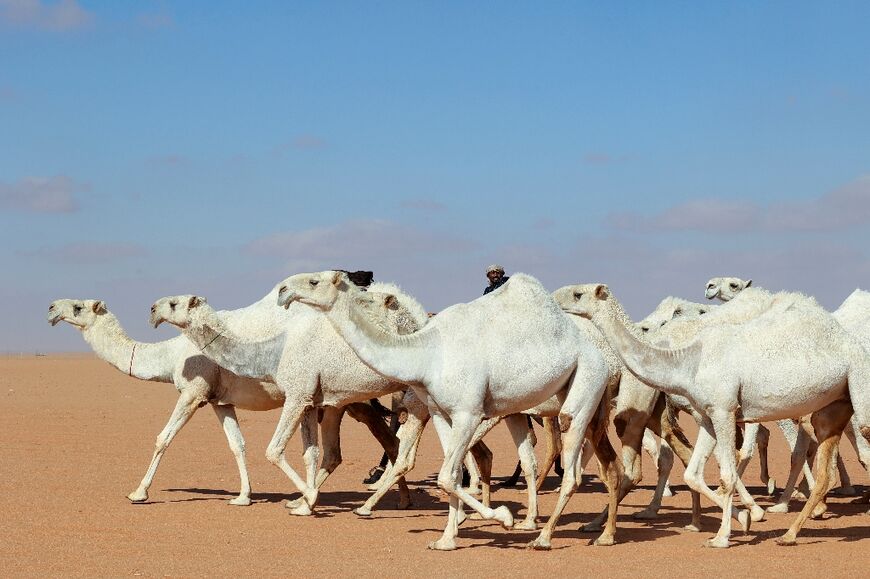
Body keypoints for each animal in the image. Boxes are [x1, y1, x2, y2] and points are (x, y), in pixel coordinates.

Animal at [45, 300, 402, 508]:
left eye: (77, 308)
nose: (50, 308)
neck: (170, 355)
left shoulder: (193, 391)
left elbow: (163, 438)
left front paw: (138, 492)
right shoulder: (219, 401)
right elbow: (237, 445)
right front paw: (244, 496)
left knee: (386, 437)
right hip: (337, 402)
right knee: (366, 442)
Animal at [276, 272, 624, 552]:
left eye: (314, 281)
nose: (282, 290)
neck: (427, 353)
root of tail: (603, 357)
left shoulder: (468, 412)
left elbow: (444, 475)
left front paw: (502, 517)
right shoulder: (441, 412)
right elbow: (451, 475)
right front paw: (446, 539)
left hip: (585, 386)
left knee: (573, 465)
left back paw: (545, 537)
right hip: (569, 403)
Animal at [564, 284, 870, 548]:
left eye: (578, 294)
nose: (559, 304)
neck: (687, 360)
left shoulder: (724, 410)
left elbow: (727, 474)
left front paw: (724, 535)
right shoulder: (707, 415)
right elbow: (693, 473)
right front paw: (743, 517)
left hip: (858, 388)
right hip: (833, 406)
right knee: (825, 466)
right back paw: (790, 532)